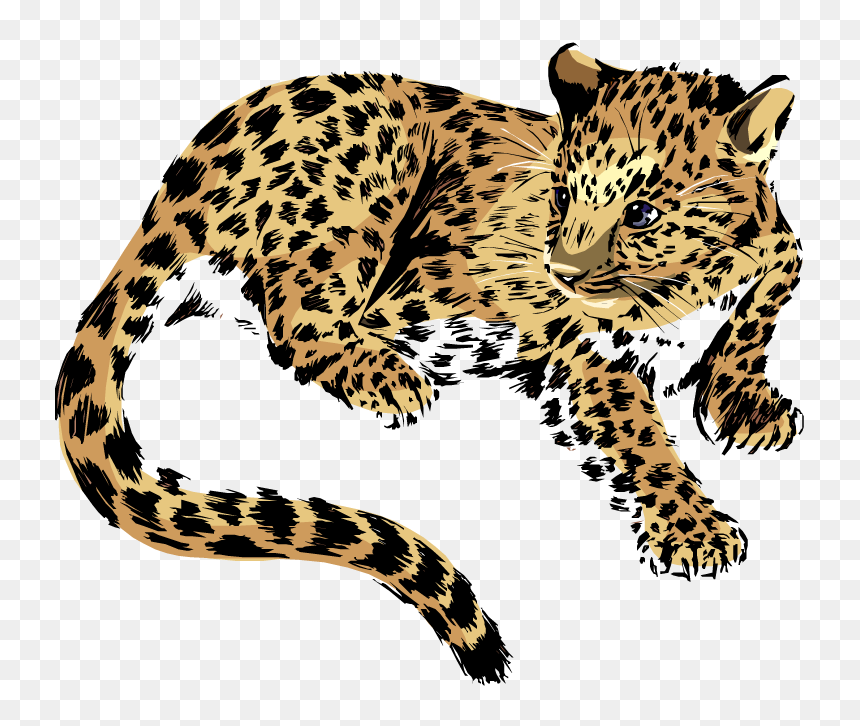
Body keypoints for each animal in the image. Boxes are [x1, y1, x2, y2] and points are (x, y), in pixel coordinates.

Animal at [55, 43, 802, 683]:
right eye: (562, 196)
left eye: (642, 212)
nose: (558, 269)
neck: (693, 281)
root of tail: (180, 184)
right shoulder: (586, 356)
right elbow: (642, 438)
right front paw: (695, 528)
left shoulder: (782, 250)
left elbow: (763, 304)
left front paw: (747, 404)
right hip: (376, 164)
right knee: (294, 319)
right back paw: (391, 378)